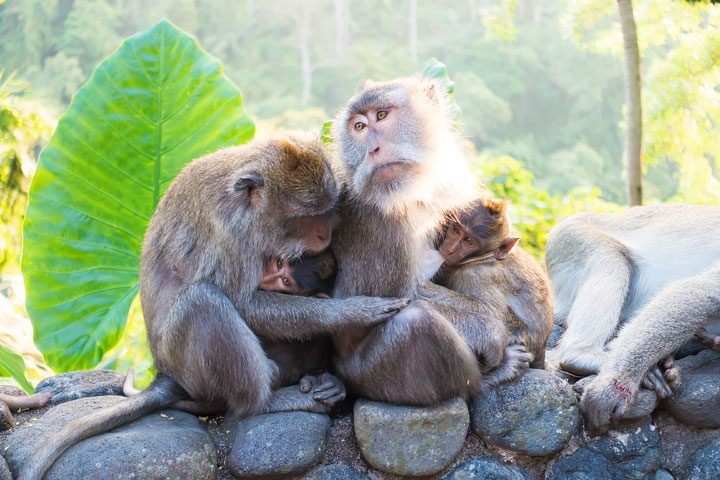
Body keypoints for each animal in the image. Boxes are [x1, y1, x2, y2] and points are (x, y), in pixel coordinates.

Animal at [328, 76, 528, 404]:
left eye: (381, 116)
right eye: (359, 126)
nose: (373, 149)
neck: (408, 195)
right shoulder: (381, 224)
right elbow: (400, 296)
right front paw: (491, 330)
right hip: (372, 376)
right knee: (417, 323)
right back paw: (486, 381)